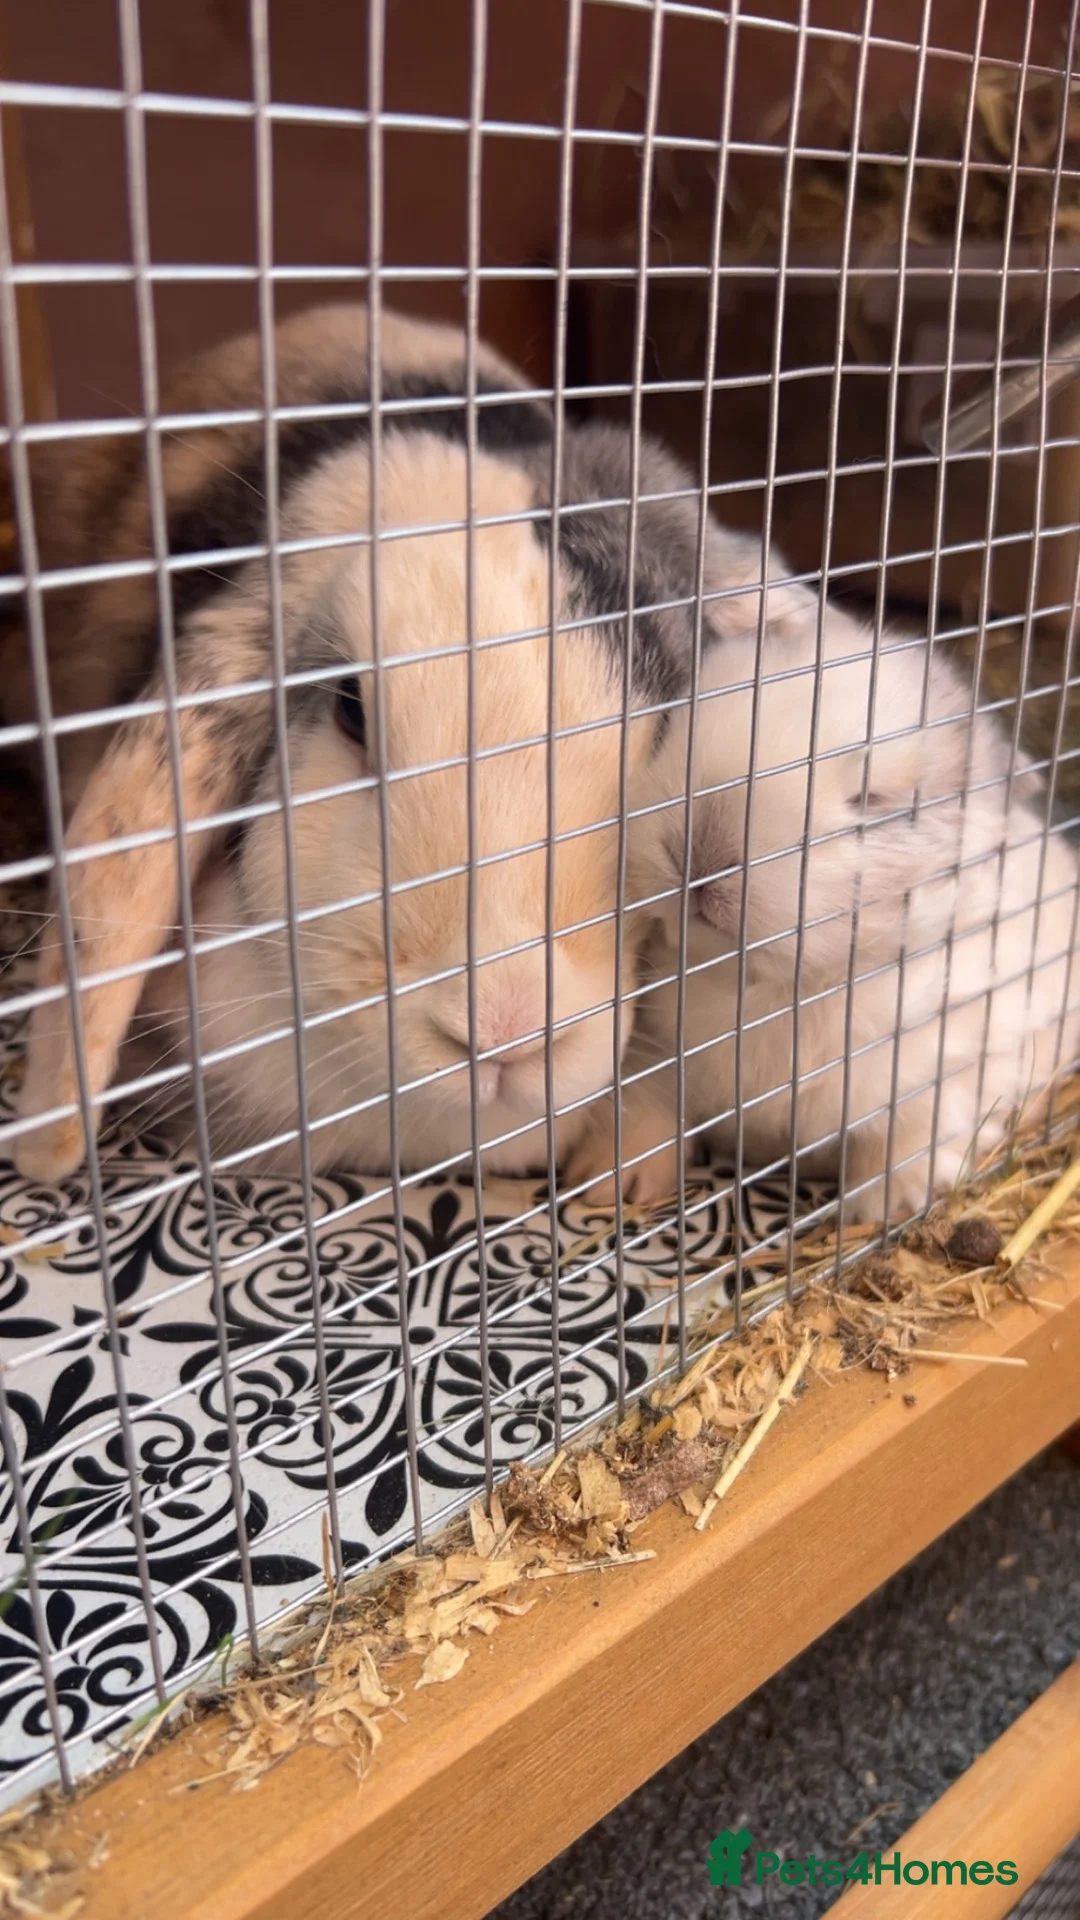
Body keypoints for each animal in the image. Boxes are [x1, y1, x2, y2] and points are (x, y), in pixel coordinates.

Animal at [568, 593, 1080, 1222]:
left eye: (871, 799)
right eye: (673, 730)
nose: (700, 853)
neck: (772, 988)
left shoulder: (942, 1084)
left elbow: (903, 1147)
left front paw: (882, 1212)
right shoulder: (657, 1054)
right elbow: (649, 1113)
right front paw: (612, 1186)